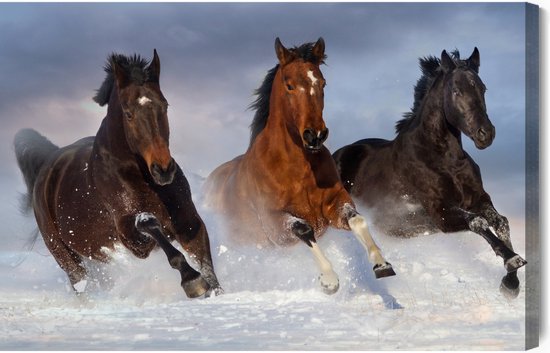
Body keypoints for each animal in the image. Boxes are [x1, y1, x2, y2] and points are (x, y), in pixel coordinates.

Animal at [14, 50, 222, 296]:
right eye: (128, 113)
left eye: (165, 105)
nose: (163, 170)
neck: (139, 175)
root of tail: (49, 161)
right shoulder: (131, 238)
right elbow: (150, 224)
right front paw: (192, 281)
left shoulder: (188, 221)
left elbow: (206, 263)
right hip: (65, 256)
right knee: (81, 284)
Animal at [205, 37, 394, 292]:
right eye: (289, 85)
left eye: (323, 83)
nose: (315, 135)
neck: (298, 170)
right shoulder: (275, 224)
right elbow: (304, 229)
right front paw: (329, 280)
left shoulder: (334, 204)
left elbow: (358, 220)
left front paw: (381, 264)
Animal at [334, 46, 528, 296]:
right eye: (456, 91)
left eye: (483, 88)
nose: (486, 134)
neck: (443, 159)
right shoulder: (440, 212)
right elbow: (478, 223)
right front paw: (511, 259)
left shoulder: (478, 199)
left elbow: (501, 222)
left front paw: (511, 282)